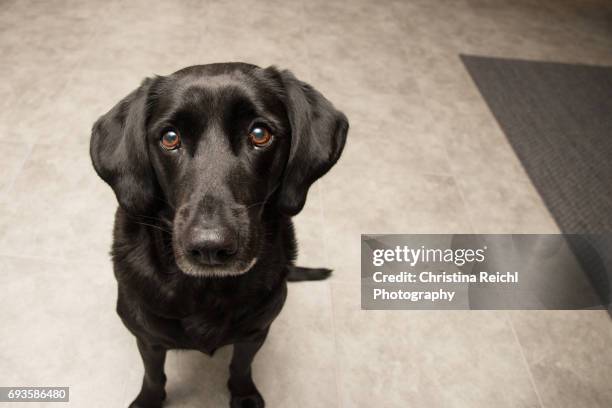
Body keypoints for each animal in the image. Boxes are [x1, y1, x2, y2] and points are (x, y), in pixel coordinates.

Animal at [89, 63, 350, 408]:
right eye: (169, 138)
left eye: (260, 134)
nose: (210, 247)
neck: (207, 289)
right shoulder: (147, 338)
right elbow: (153, 374)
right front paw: (149, 400)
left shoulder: (255, 332)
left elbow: (241, 365)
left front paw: (243, 395)